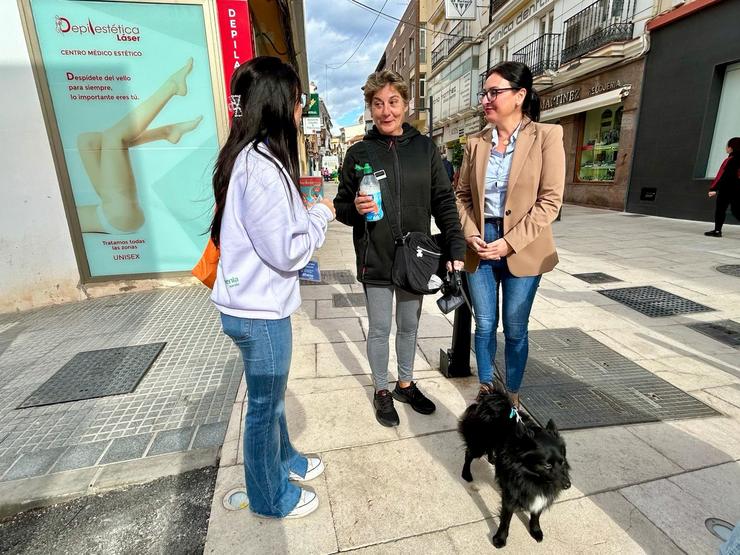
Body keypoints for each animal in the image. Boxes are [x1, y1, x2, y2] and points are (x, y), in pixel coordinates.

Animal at [456, 388, 572, 548]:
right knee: (468, 454)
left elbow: (536, 514)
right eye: (547, 465)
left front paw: (535, 530)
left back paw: (493, 459)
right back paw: (466, 473)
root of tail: (493, 397)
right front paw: (500, 539)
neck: (532, 476)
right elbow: (506, 519)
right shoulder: (511, 494)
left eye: (562, 462)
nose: (568, 485)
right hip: (478, 443)